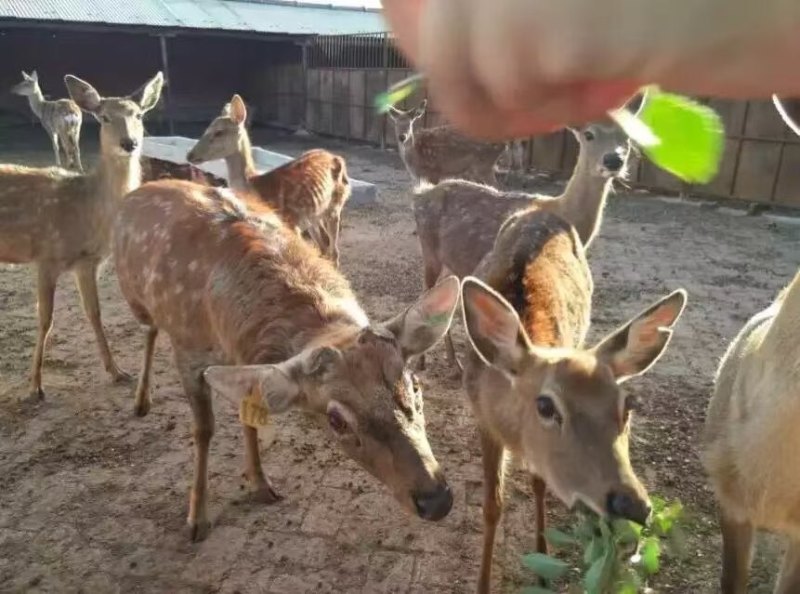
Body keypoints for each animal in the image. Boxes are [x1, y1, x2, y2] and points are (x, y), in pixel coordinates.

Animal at [0, 71, 164, 399]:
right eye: (104, 117)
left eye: (138, 115)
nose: (129, 142)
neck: (88, 211)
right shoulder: (46, 256)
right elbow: (45, 319)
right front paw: (35, 385)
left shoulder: (88, 262)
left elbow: (94, 313)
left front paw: (117, 372)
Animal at [112, 179, 460, 541]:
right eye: (336, 420)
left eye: (415, 385)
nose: (436, 499)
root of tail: (138, 189)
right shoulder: (188, 352)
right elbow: (204, 430)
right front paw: (197, 519)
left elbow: (249, 418)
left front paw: (260, 484)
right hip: (135, 298)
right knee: (149, 330)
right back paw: (139, 397)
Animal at [186, 94, 350, 267]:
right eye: (206, 129)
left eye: (219, 132)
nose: (190, 154)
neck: (256, 188)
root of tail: (335, 157)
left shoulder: (290, 223)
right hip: (313, 214)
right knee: (324, 244)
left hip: (336, 204)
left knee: (333, 249)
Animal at [412, 99, 641, 372]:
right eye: (589, 134)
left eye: (628, 136)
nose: (613, 160)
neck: (564, 210)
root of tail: (420, 194)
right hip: (429, 251)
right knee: (426, 292)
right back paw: (424, 362)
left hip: (452, 262)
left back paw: (453, 362)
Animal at [458, 206, 687, 593]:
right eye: (546, 405)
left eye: (628, 405)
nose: (632, 507)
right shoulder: (482, 420)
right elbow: (492, 505)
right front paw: (483, 584)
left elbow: (539, 483)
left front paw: (541, 564)